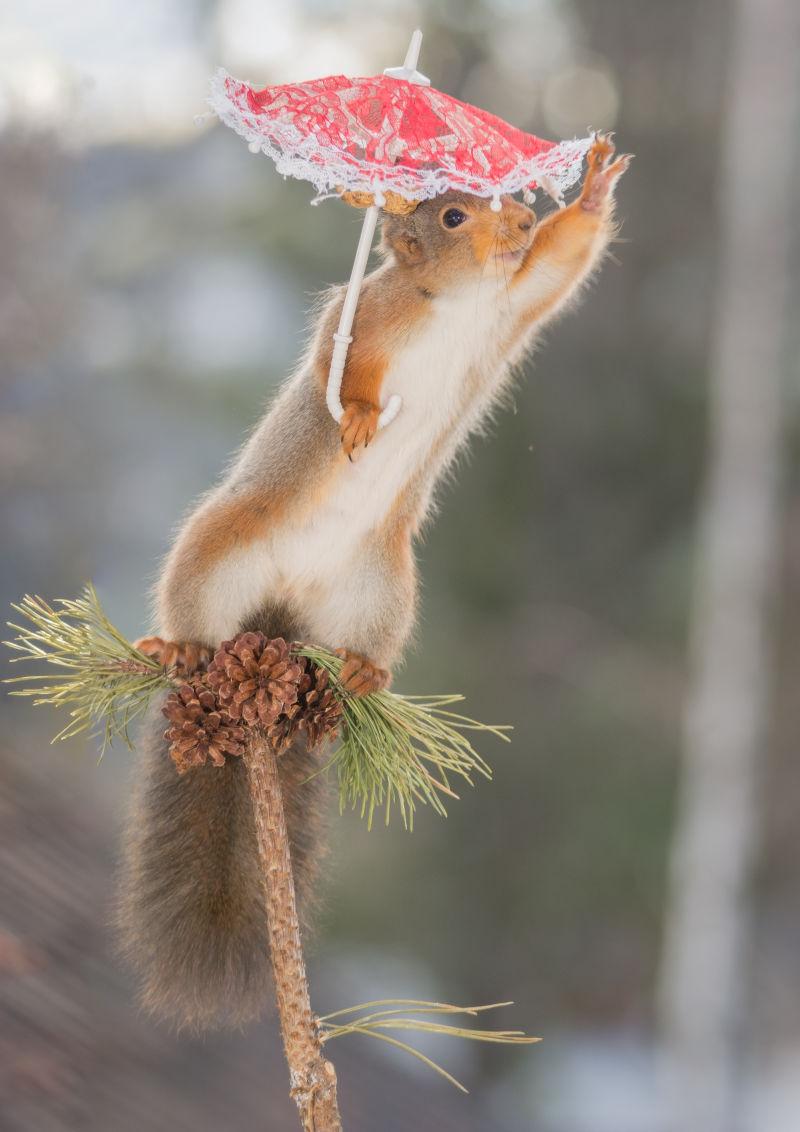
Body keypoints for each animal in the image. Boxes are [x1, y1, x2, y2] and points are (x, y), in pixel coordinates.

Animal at [118, 136, 633, 1032]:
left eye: (507, 194)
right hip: (222, 545)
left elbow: (558, 266)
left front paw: (593, 191)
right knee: (197, 606)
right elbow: (342, 356)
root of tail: (278, 620)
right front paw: (356, 415)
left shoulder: (516, 302)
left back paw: (362, 671)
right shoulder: (366, 316)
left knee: (360, 646)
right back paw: (180, 644)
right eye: (452, 213)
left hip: (383, 587)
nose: (522, 217)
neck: (457, 303)